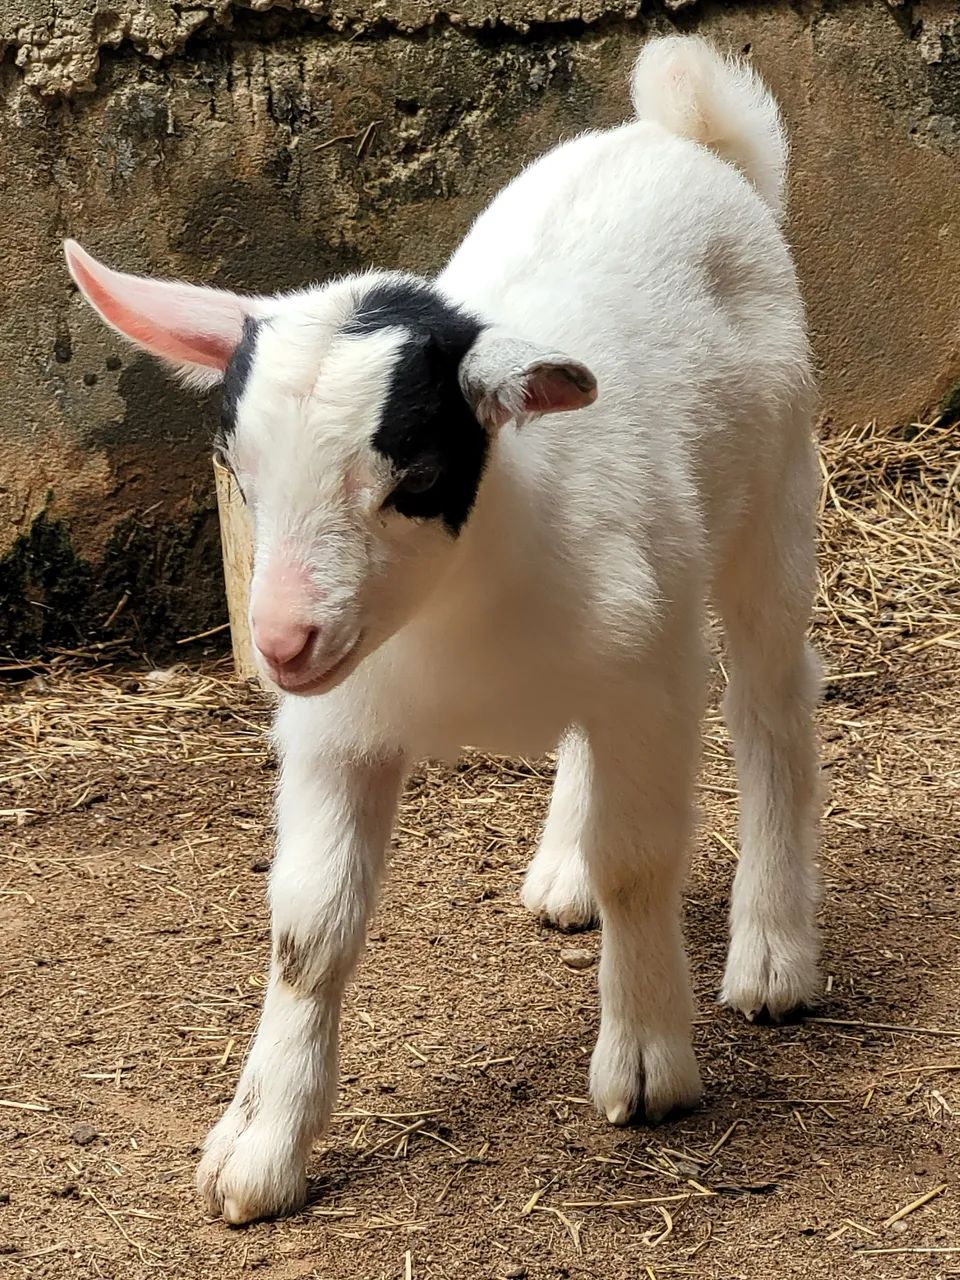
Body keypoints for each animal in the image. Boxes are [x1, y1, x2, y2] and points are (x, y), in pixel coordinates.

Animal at [65, 34, 822, 1225]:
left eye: (415, 473)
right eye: (237, 466)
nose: (280, 643)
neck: (459, 607)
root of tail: (685, 137)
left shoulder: (649, 681)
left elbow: (640, 860)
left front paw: (648, 1061)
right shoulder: (340, 725)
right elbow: (309, 925)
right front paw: (260, 1148)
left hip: (773, 503)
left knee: (772, 705)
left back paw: (776, 955)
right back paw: (562, 874)